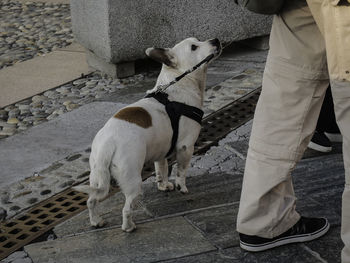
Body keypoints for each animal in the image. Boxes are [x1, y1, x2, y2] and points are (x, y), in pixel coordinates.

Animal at [74, 37, 221, 233]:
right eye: (194, 47)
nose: (215, 40)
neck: (178, 83)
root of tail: (108, 144)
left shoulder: (161, 152)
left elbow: (162, 170)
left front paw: (163, 185)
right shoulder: (186, 147)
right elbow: (181, 171)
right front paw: (182, 187)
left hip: (97, 177)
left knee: (91, 201)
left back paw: (96, 221)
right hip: (133, 181)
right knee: (126, 209)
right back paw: (129, 227)